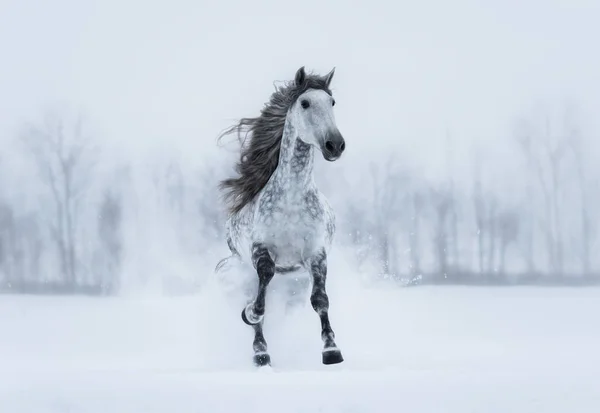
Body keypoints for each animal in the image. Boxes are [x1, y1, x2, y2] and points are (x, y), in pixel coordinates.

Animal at [216, 66, 346, 366]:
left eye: (332, 102)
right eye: (305, 103)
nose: (335, 145)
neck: (292, 200)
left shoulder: (316, 254)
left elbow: (320, 300)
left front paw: (331, 349)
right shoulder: (261, 250)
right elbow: (260, 296)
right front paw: (249, 314)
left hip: (295, 282)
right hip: (243, 271)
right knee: (257, 300)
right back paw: (261, 353)